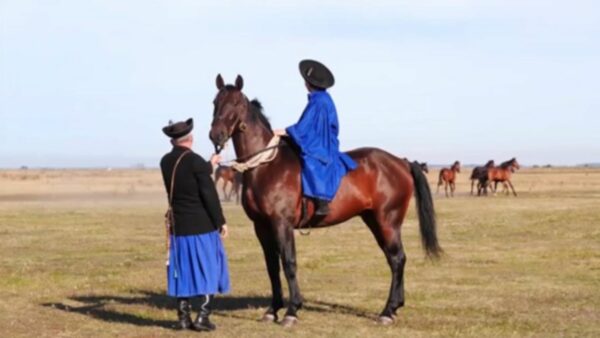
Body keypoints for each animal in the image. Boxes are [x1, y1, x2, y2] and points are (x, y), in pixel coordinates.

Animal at [207, 74, 440, 328]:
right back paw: (394, 307)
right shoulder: (261, 227)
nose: (216, 135)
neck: (266, 166)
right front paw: (273, 309)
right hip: (375, 221)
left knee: (398, 259)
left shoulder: (281, 224)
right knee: (393, 259)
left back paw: (387, 311)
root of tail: (402, 162)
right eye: (215, 102)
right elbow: (272, 266)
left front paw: (292, 310)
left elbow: (288, 263)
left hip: (387, 222)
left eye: (236, 103)